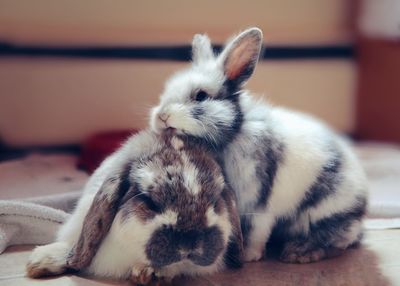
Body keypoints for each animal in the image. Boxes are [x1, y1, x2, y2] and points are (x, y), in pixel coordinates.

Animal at [151, 27, 368, 264]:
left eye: (200, 96)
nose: (162, 116)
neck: (231, 136)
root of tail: (360, 212)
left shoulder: (259, 203)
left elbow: (257, 231)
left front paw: (248, 256)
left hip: (323, 212)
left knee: (338, 240)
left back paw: (300, 252)